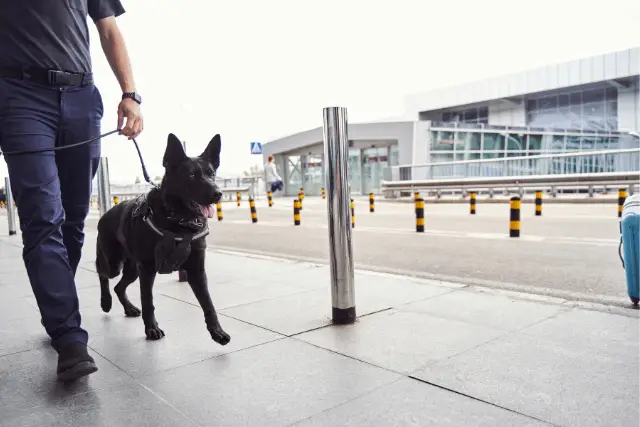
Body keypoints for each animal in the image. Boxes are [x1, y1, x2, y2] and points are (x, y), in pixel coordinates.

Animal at [96, 134, 231, 348]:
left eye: (212, 174)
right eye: (191, 175)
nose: (218, 194)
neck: (178, 220)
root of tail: (104, 215)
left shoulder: (197, 271)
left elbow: (208, 304)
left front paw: (217, 331)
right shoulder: (147, 269)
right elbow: (148, 300)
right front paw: (151, 329)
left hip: (133, 270)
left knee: (119, 287)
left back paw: (129, 308)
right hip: (115, 264)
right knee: (103, 274)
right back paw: (105, 302)